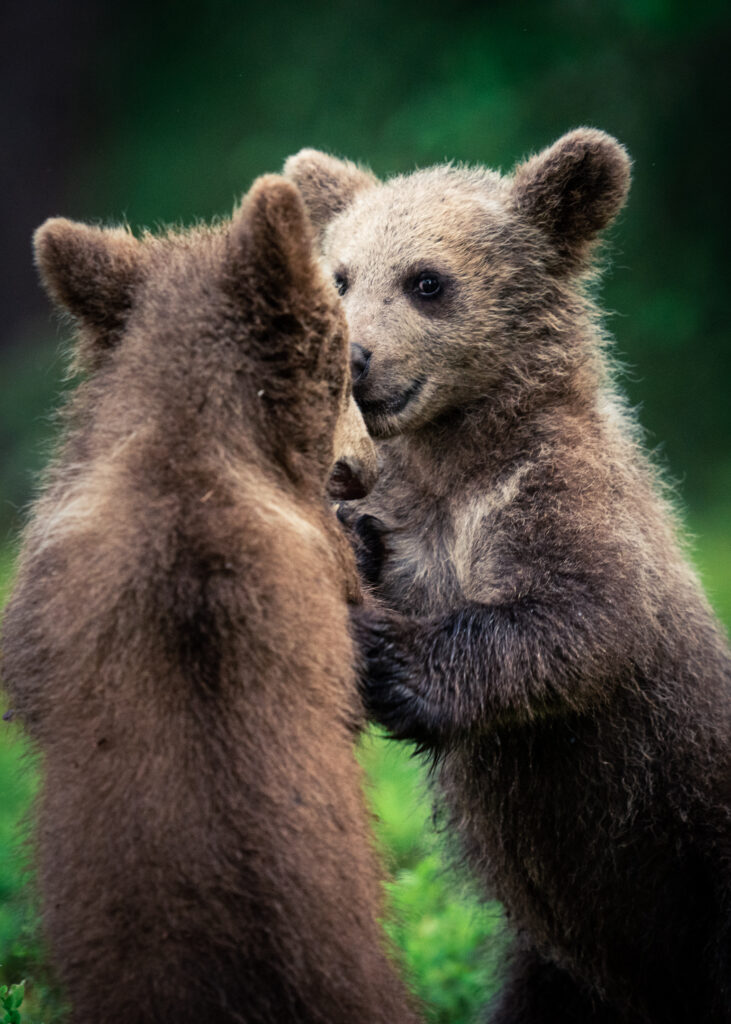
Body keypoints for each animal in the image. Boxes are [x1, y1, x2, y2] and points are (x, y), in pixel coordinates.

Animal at [284, 131, 731, 1023]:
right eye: (340, 274)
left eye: (426, 281)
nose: (353, 359)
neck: (453, 453)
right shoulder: (407, 510)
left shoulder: (554, 492)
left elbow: (582, 615)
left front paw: (386, 657)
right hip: (561, 968)